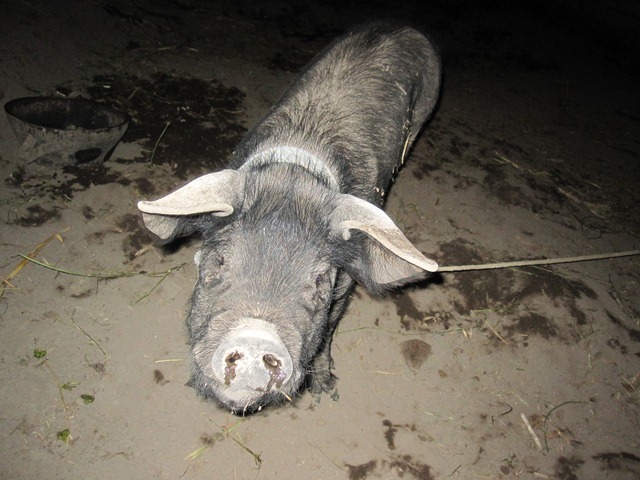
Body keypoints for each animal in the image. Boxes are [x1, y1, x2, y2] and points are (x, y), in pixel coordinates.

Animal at [137, 22, 441, 414]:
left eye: (319, 281)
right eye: (218, 261)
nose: (256, 339)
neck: (295, 172)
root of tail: (401, 26)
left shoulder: (343, 291)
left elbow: (327, 333)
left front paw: (327, 391)